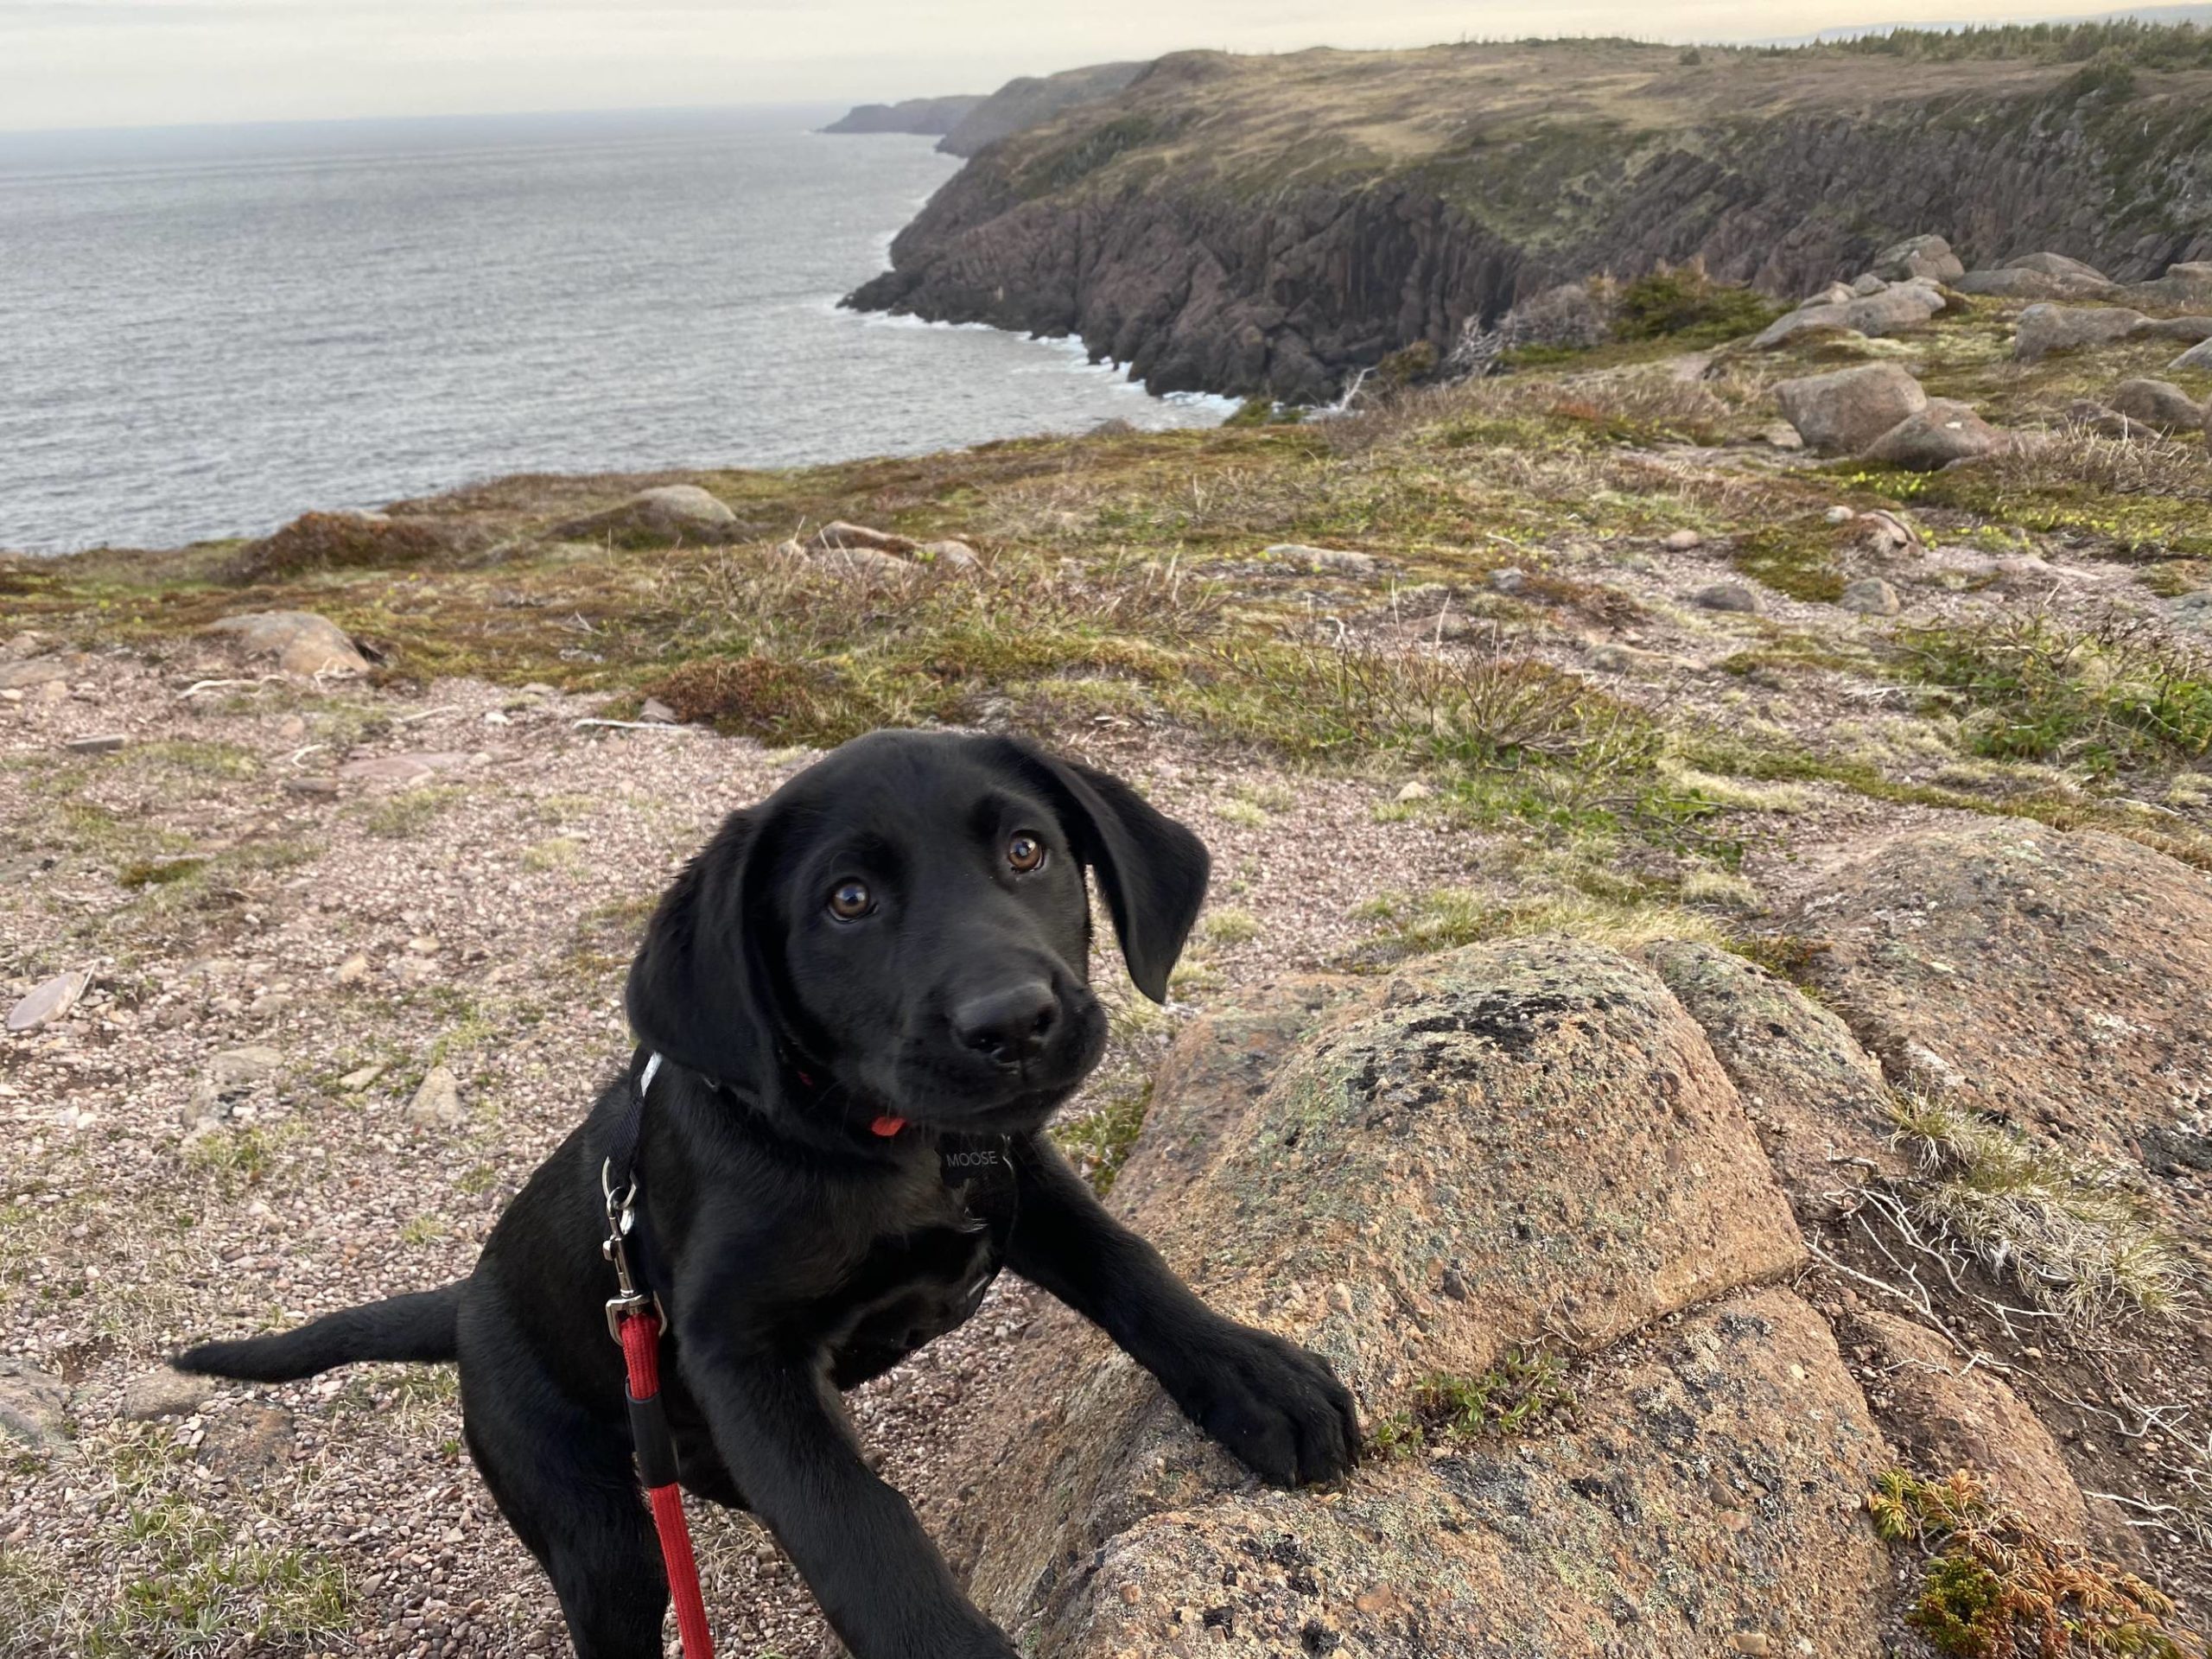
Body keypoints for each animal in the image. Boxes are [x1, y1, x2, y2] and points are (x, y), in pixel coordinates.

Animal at [186, 734, 1362, 1659]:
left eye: (1026, 850)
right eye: (848, 902)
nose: (1016, 1023)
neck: (870, 1140)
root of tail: (469, 1299)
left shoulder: (1017, 1183)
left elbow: (1133, 1269)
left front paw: (1254, 1378)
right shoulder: (738, 1349)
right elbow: (854, 1524)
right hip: (594, 1533)